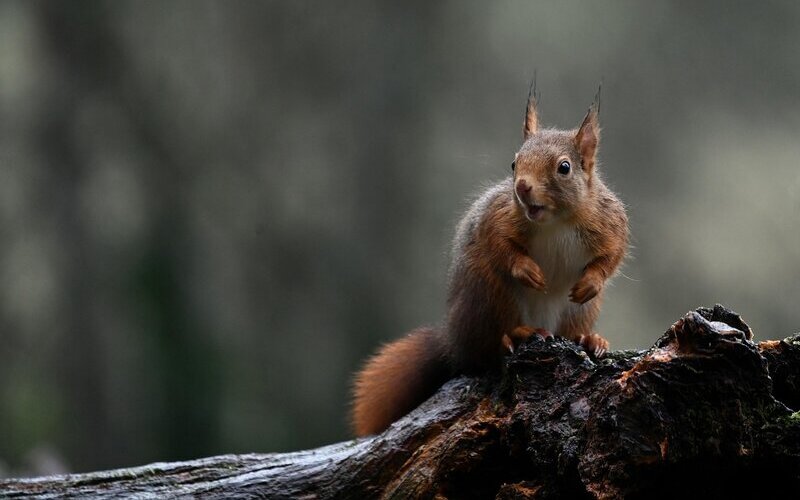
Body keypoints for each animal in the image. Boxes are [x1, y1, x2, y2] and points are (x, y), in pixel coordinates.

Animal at [351, 90, 629, 436]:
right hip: (490, 294)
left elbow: (612, 255)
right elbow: (498, 244)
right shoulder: (497, 216)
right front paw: (527, 270)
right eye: (514, 163)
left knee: (568, 329)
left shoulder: (610, 221)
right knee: (485, 351)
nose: (522, 187)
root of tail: (452, 342)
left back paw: (589, 339)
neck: (556, 221)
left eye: (564, 167)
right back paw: (516, 335)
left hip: (577, 312)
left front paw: (591, 282)